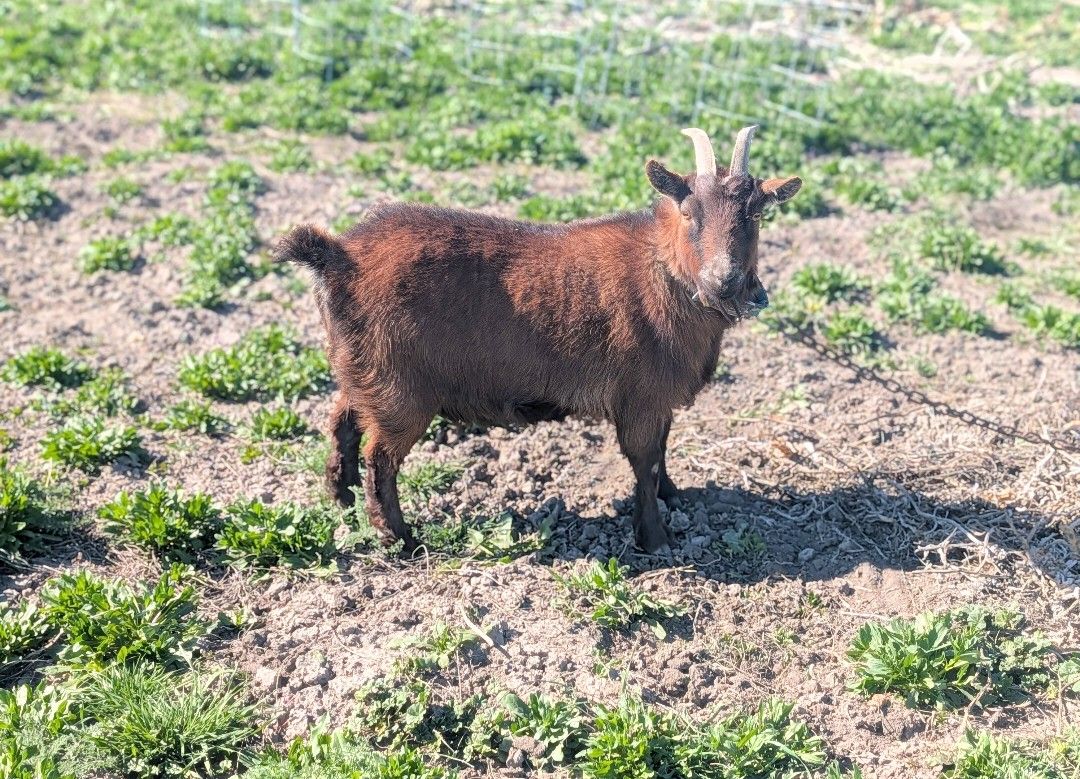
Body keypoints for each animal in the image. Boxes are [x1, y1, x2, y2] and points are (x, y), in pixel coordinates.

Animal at [276, 126, 802, 553]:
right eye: (689, 212)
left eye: (756, 215)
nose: (723, 281)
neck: (664, 272)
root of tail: (337, 256)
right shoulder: (640, 397)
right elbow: (645, 461)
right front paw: (655, 539)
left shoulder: (659, 400)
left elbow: (664, 450)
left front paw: (674, 495)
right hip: (398, 388)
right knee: (380, 457)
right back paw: (401, 538)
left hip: (362, 368)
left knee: (342, 421)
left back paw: (341, 500)